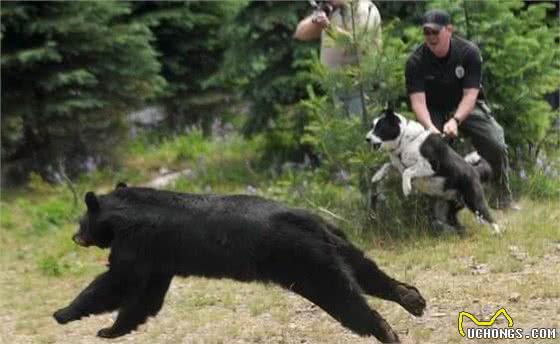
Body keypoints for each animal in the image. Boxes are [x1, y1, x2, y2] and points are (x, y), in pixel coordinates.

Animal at [54, 184, 426, 342]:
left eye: (81, 221)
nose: (74, 236)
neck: (123, 212)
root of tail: (312, 223)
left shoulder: (138, 247)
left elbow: (116, 283)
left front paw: (66, 313)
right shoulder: (161, 260)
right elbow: (146, 299)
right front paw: (112, 329)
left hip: (307, 263)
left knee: (346, 300)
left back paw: (386, 331)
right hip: (337, 244)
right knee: (367, 272)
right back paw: (412, 298)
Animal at [368, 108, 498, 234]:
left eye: (380, 127)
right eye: (372, 126)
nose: (367, 139)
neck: (406, 142)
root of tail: (475, 171)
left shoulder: (430, 166)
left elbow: (407, 171)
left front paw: (406, 188)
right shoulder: (399, 166)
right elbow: (388, 165)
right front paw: (377, 176)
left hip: (474, 201)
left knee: (491, 219)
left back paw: (497, 233)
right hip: (451, 206)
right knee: (455, 221)